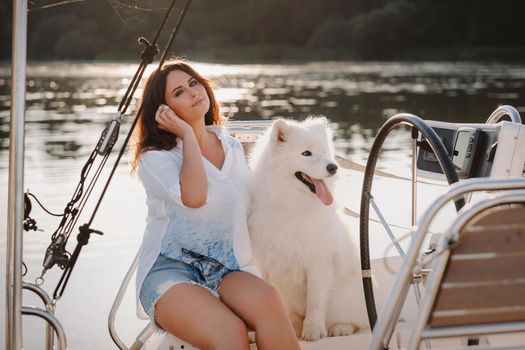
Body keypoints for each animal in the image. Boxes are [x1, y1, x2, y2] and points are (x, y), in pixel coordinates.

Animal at [247, 117, 366, 342]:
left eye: (325, 152)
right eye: (306, 153)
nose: (333, 167)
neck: (292, 204)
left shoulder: (318, 263)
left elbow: (316, 301)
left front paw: (313, 331)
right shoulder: (270, 264)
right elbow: (277, 301)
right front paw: (286, 329)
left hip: (348, 294)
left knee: (357, 321)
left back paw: (340, 328)